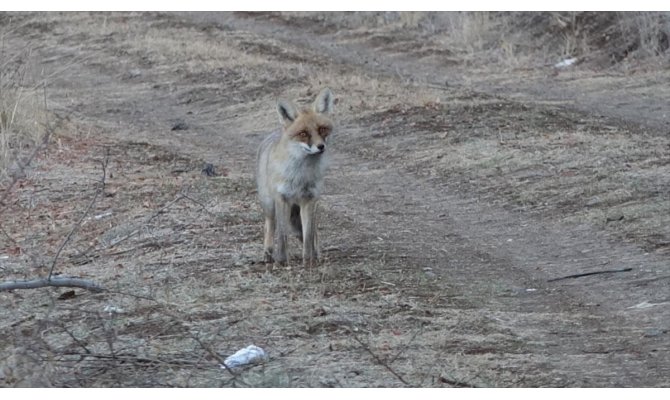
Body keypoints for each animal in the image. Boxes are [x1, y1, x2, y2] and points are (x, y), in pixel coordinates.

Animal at [256, 89, 334, 268]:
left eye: (322, 129)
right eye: (303, 133)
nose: (321, 147)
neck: (300, 175)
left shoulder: (309, 200)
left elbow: (308, 235)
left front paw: (309, 260)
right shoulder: (282, 198)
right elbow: (282, 235)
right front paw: (282, 261)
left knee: (313, 232)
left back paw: (317, 253)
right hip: (269, 204)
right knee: (269, 226)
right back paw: (268, 253)